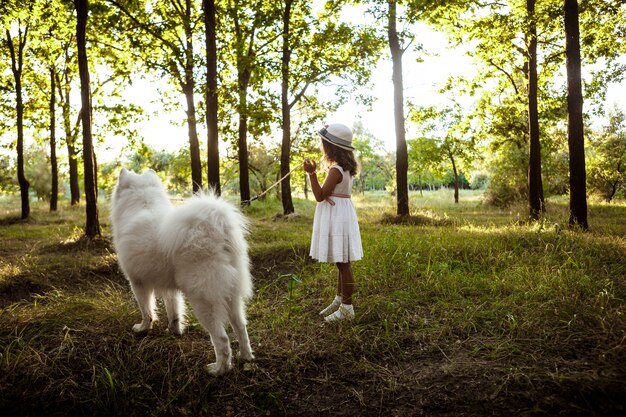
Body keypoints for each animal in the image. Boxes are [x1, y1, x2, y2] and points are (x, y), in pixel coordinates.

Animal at [110, 169, 254, 374]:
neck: (143, 202)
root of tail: (218, 228)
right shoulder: (169, 288)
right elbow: (174, 311)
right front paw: (174, 331)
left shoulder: (137, 283)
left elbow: (147, 311)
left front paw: (142, 328)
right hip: (232, 295)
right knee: (241, 327)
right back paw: (246, 357)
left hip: (204, 300)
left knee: (222, 339)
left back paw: (218, 369)